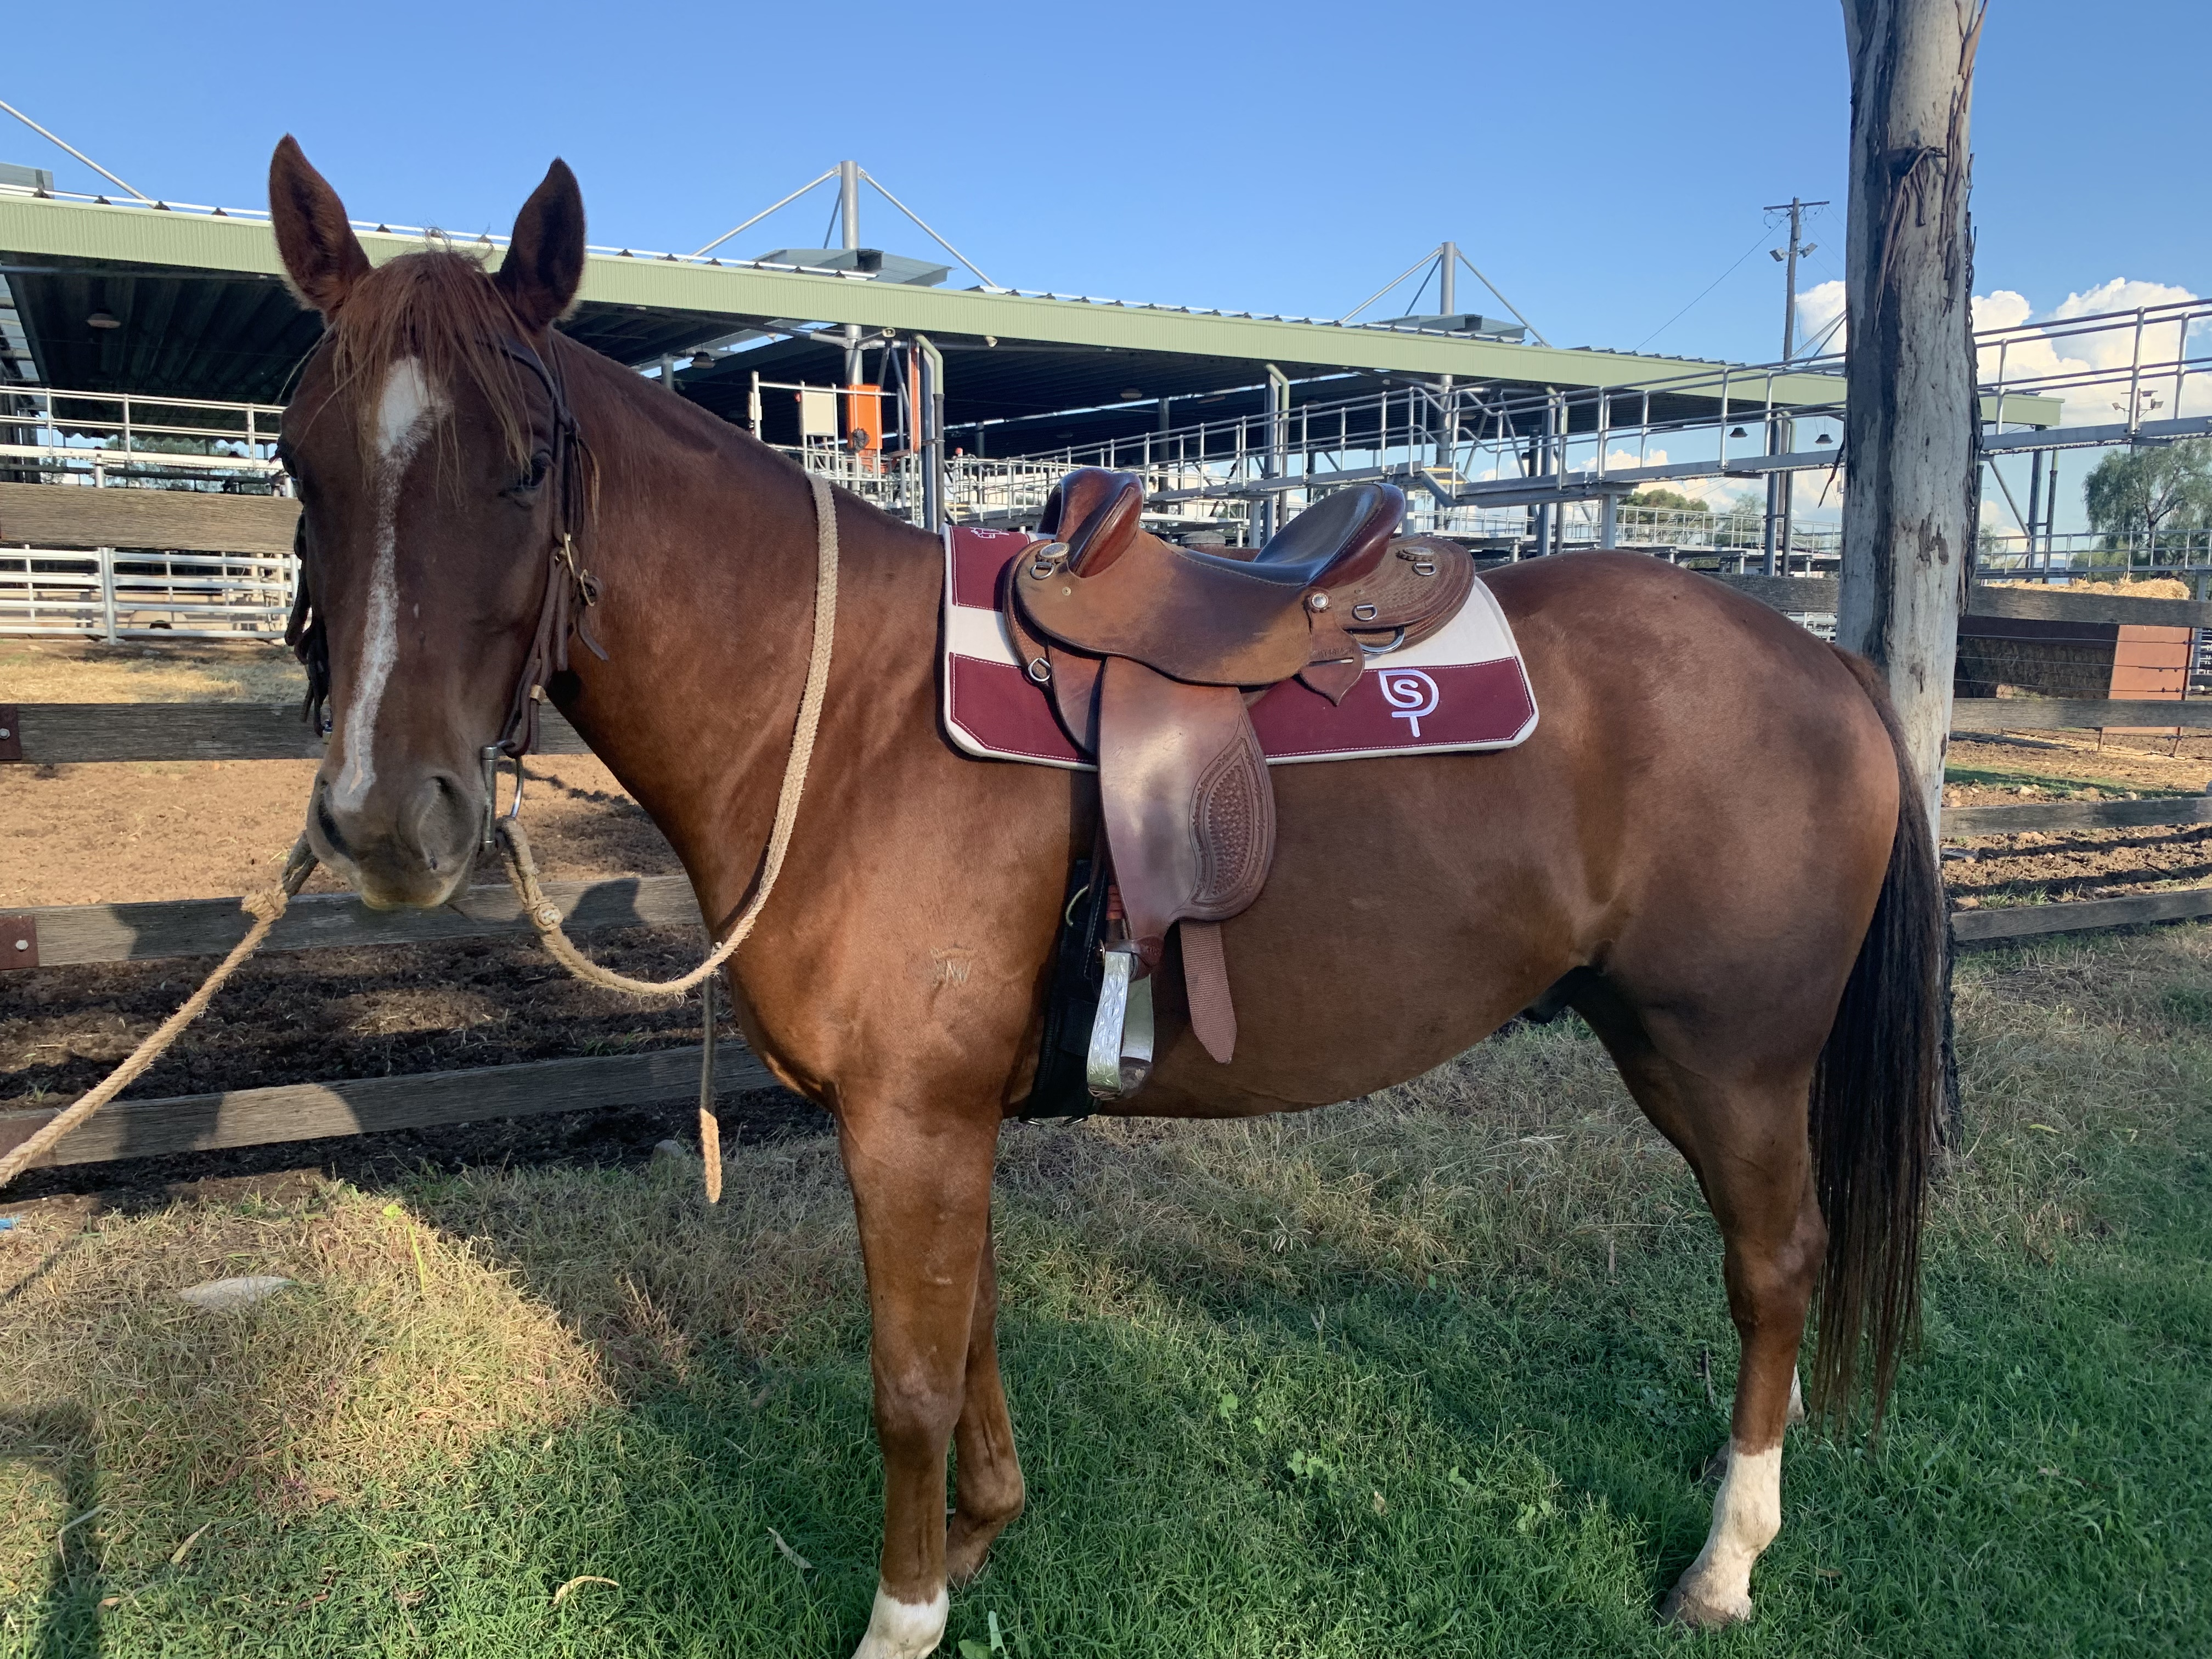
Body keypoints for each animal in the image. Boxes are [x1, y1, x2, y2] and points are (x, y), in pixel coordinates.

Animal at [264, 136, 1944, 1658]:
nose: (387, 817)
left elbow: (908, 1383)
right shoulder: (948, 1120)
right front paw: (982, 1543)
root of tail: (1827, 665)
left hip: (1726, 1055)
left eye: (527, 464)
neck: (844, 717)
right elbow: (974, 1336)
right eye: (300, 459)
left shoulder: (908, 1124)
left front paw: (905, 1618)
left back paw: (1726, 1560)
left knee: (1773, 1265)